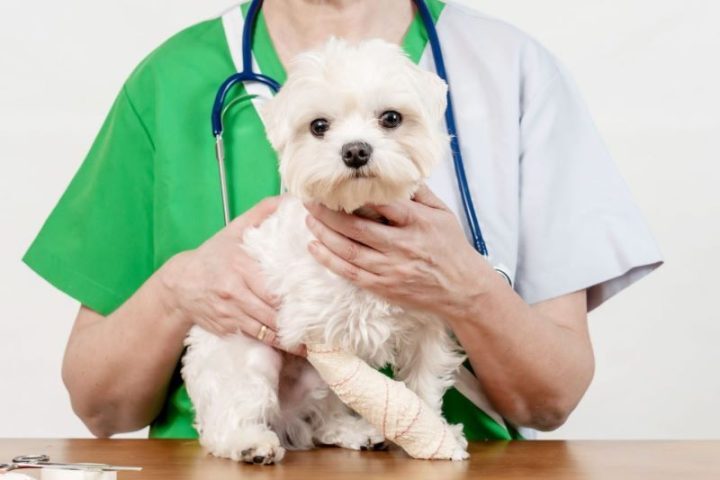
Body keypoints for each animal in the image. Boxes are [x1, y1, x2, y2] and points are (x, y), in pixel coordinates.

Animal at [183, 38, 466, 464]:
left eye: (391, 118)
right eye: (319, 126)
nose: (355, 151)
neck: (362, 217)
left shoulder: (427, 324)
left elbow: (423, 384)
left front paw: (434, 432)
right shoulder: (320, 329)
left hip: (310, 384)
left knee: (321, 419)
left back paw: (356, 432)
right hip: (248, 357)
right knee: (227, 421)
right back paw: (249, 443)